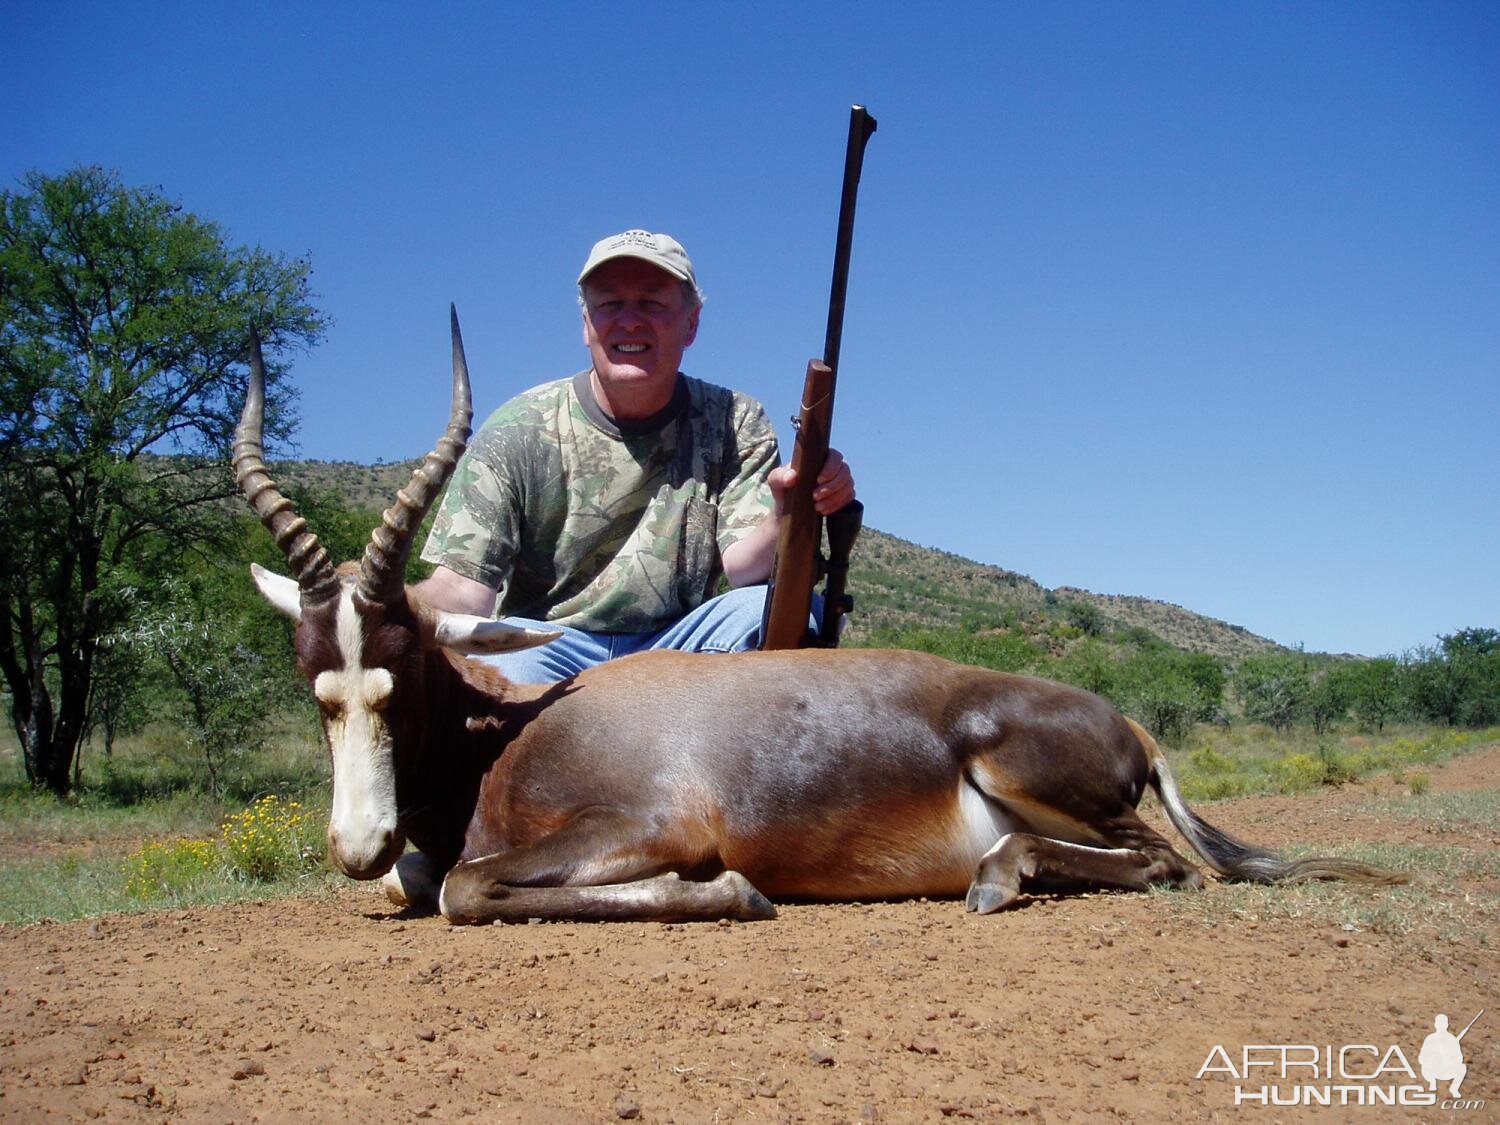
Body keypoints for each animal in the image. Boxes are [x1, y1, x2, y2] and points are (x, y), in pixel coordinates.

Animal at [231, 310, 1392, 924]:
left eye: (401, 671)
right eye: (316, 688)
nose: (357, 845)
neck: (512, 728)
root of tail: (1131, 724)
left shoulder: (645, 824)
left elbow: (467, 888)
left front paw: (734, 891)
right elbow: (436, 883)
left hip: (1029, 771)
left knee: (1166, 860)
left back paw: (994, 879)